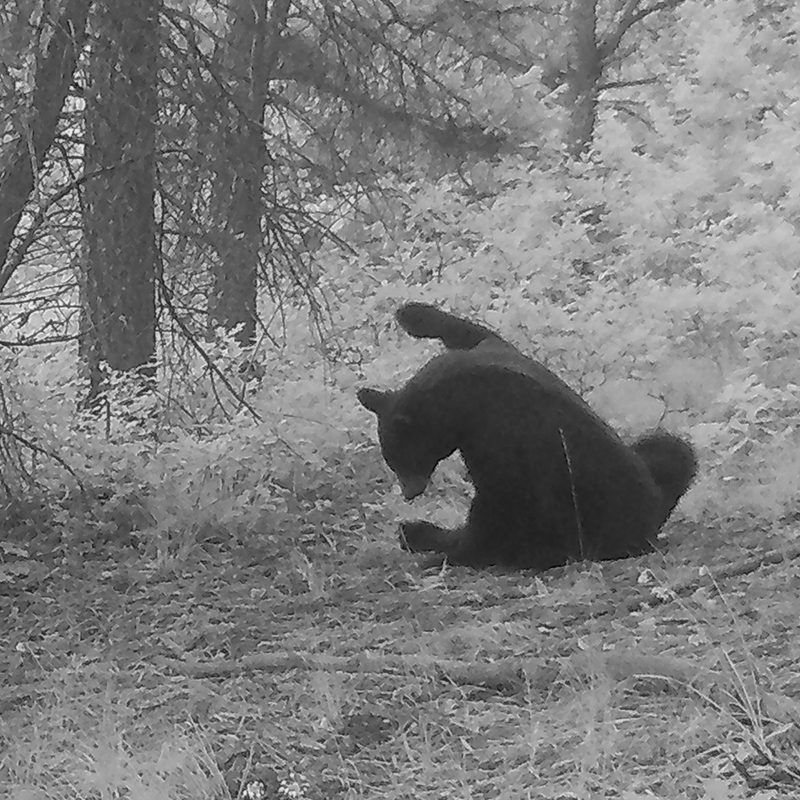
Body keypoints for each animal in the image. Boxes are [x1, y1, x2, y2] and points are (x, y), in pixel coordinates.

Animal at [357, 302, 697, 570]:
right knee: (672, 450)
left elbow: (498, 501)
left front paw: (448, 548)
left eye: (401, 459)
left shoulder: (498, 433)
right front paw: (412, 313)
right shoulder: (494, 354)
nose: (409, 492)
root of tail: (648, 526)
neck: (461, 399)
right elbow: (476, 333)